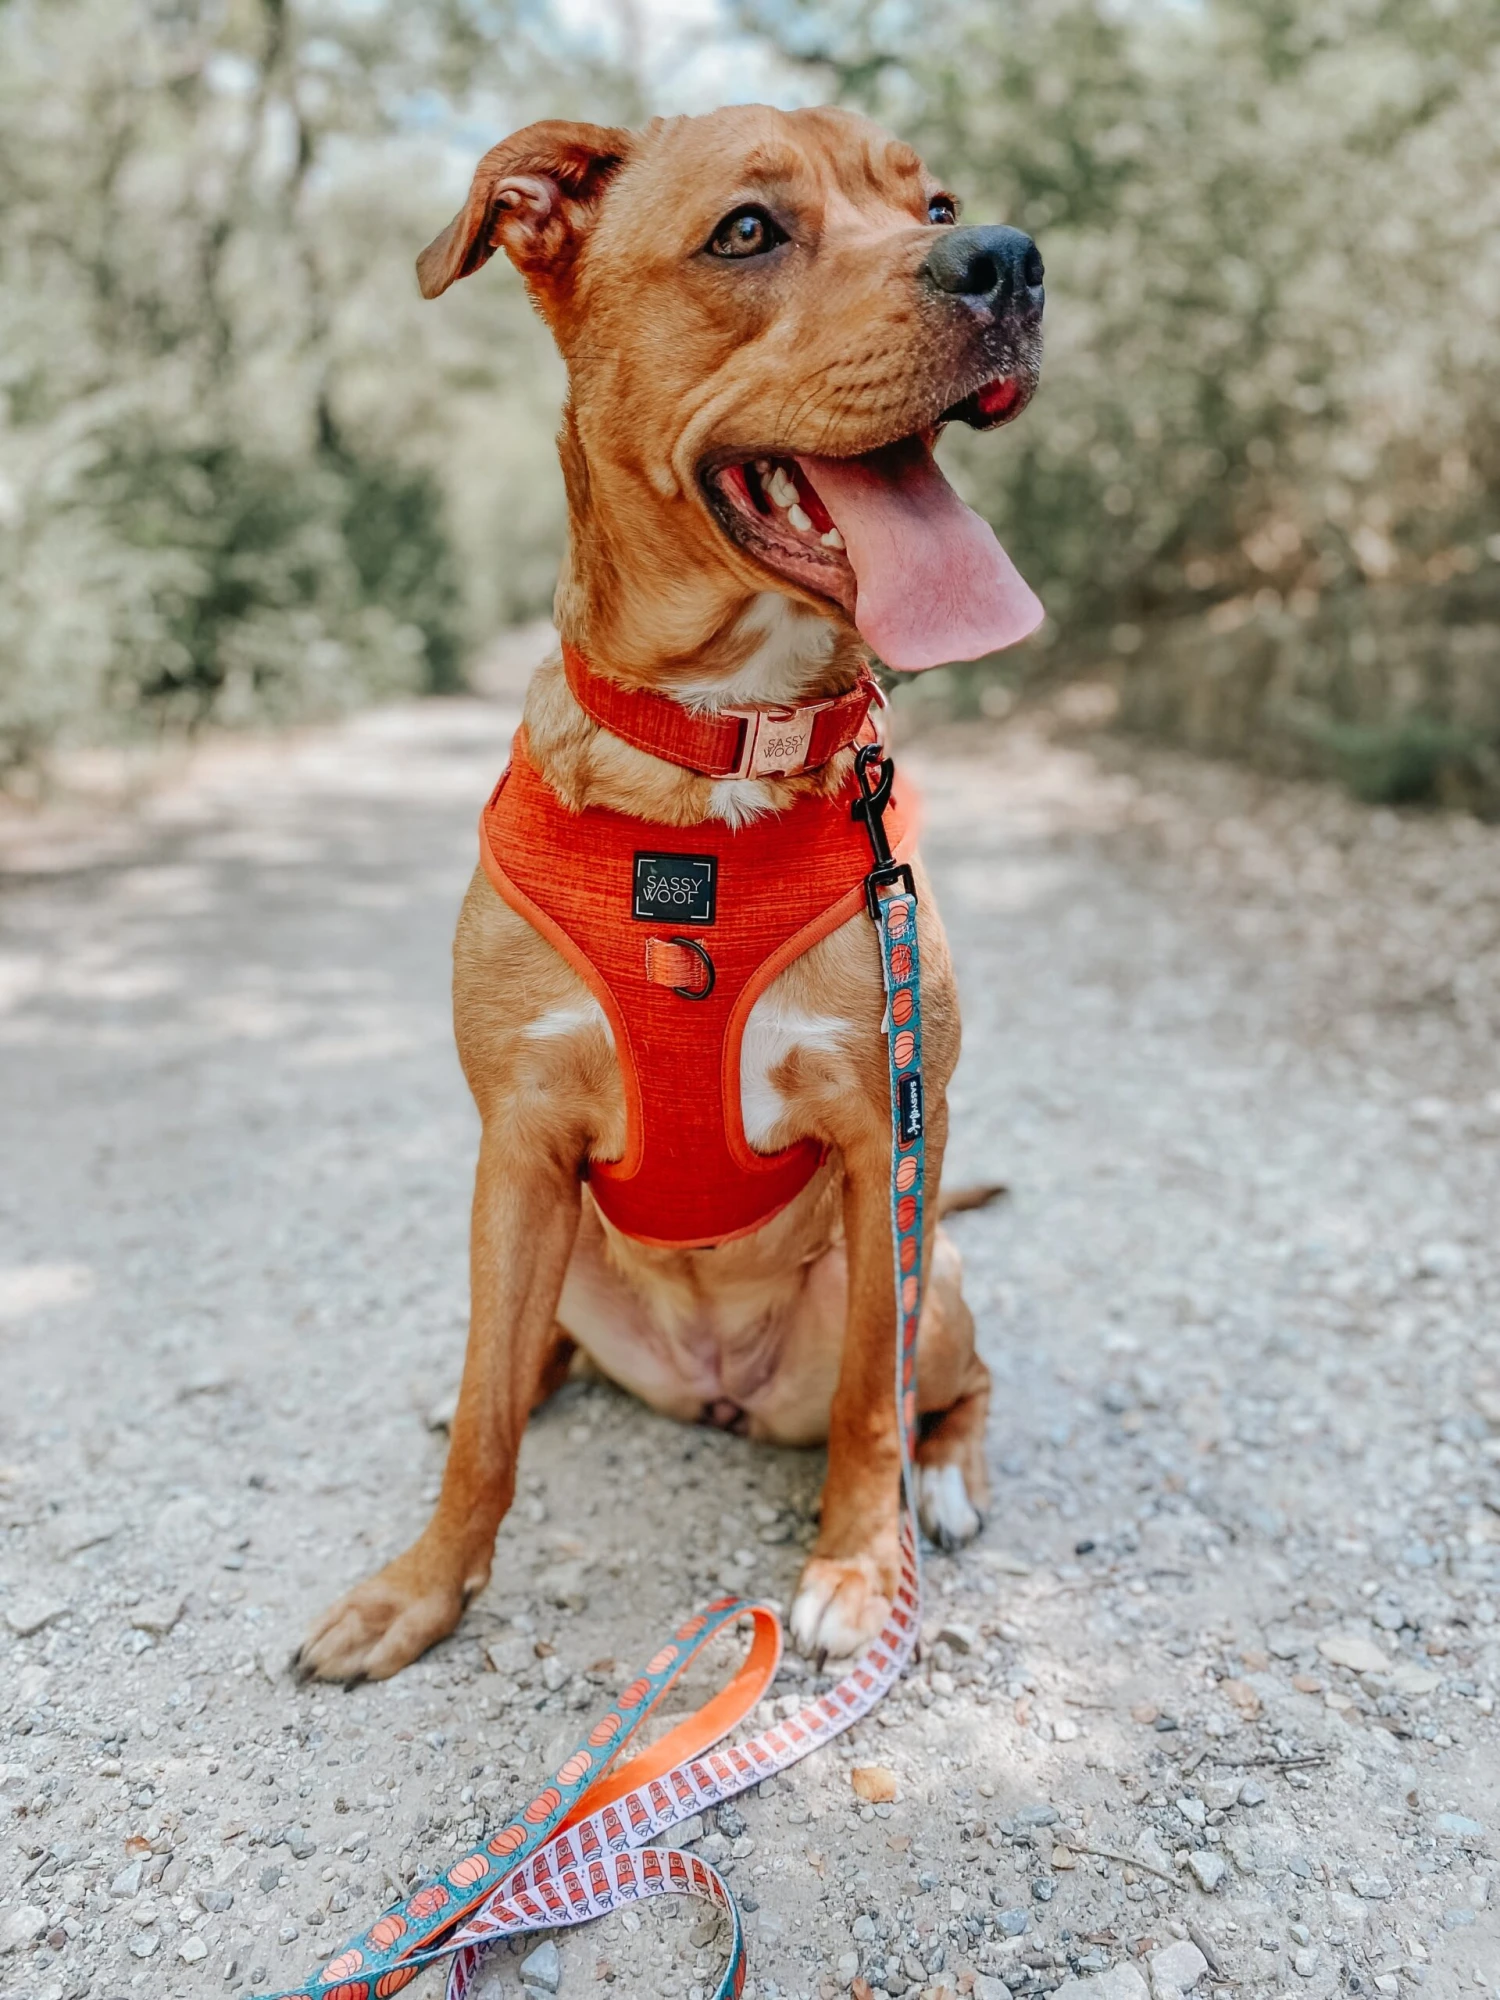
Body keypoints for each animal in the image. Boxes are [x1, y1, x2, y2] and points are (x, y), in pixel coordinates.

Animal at [296, 104, 1043, 1684]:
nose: (1010, 258)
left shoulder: (892, 1132)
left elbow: (871, 1406)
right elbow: (486, 1437)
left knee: (948, 1385)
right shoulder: (518, 1143)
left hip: (931, 1265)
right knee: (517, 1359)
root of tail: (712, 1385)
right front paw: (418, 1591)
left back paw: (945, 1482)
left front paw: (858, 1568)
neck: (717, 749)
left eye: (937, 205)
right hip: (561, 1242)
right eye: (748, 231)